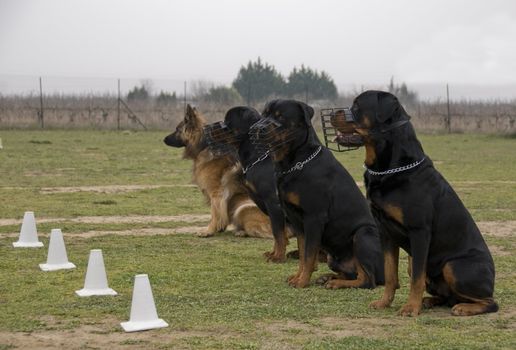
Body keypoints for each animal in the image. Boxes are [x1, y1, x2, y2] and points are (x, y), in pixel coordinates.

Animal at [163, 105, 272, 239]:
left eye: (177, 130)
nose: (164, 139)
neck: (204, 146)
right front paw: (219, 228)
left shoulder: (216, 194)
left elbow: (214, 214)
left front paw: (208, 231)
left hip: (242, 207)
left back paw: (242, 231)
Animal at [203, 106, 290, 262]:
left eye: (227, 122)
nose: (207, 127)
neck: (259, 157)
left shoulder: (273, 202)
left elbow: (278, 232)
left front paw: (278, 256)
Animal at [250, 100, 382, 288]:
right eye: (264, 114)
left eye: (280, 116)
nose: (256, 128)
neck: (294, 162)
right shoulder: (297, 221)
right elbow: (303, 253)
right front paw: (298, 277)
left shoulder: (314, 217)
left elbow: (309, 254)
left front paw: (302, 281)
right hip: (333, 258)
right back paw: (328, 277)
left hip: (363, 235)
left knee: (367, 279)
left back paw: (336, 283)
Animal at [326, 91, 500, 318]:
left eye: (357, 105)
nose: (332, 114)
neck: (389, 169)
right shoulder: (386, 233)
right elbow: (391, 274)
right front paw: (384, 302)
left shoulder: (419, 232)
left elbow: (417, 277)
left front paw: (410, 308)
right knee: (447, 296)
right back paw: (430, 301)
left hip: (454, 266)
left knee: (489, 302)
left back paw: (463, 307)